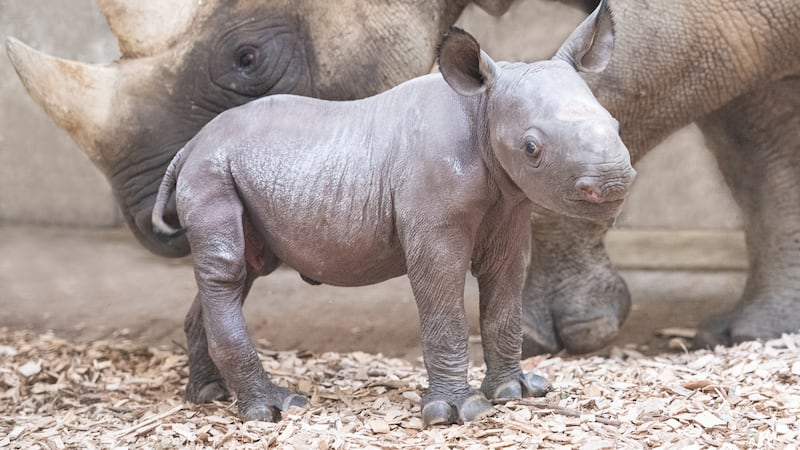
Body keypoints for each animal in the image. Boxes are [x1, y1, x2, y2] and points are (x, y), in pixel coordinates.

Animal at [6, 0, 800, 354]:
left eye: (247, 59)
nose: (158, 226)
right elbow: (765, 150)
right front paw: (755, 332)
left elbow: (625, 80)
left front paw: (560, 334)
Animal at [149, 6, 634, 423]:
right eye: (531, 148)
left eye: (616, 125)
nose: (612, 182)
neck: (481, 110)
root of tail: (190, 145)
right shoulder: (434, 224)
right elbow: (444, 307)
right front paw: (457, 413)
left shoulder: (510, 207)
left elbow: (504, 297)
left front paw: (515, 392)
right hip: (212, 170)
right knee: (228, 270)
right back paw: (273, 409)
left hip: (229, 168)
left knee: (241, 271)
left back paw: (209, 395)